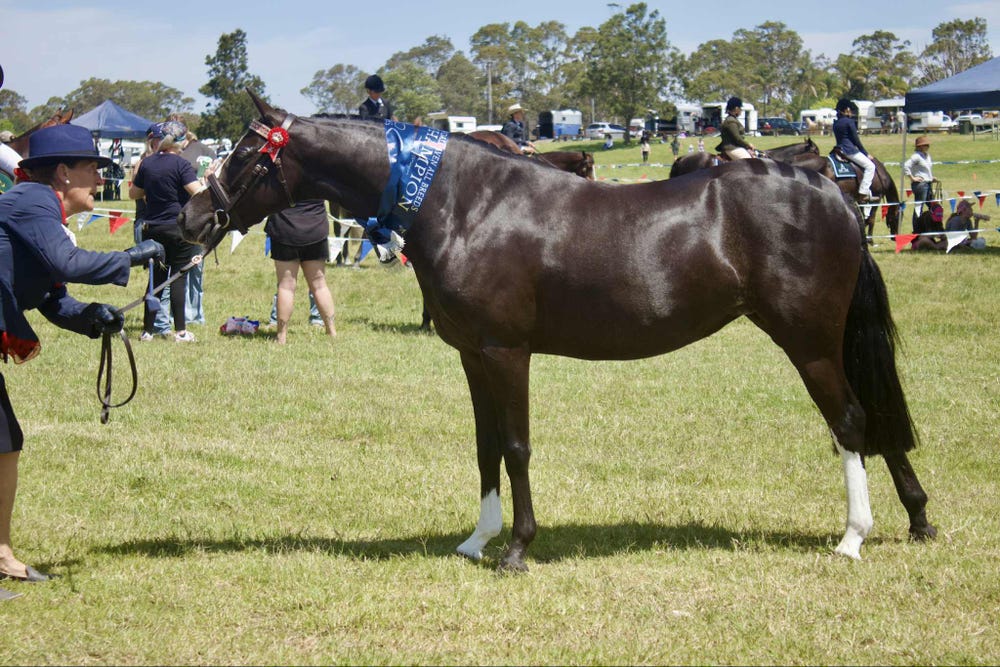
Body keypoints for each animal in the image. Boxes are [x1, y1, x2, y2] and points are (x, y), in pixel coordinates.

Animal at [178, 92, 935, 573]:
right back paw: (918, 517)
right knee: (875, 421)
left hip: (808, 341)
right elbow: (485, 447)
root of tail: (828, 189)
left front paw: (517, 549)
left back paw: (852, 538)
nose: (189, 221)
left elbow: (515, 447)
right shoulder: (473, 355)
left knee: (851, 421)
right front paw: (476, 540)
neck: (465, 204)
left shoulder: (507, 353)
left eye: (244, 155)